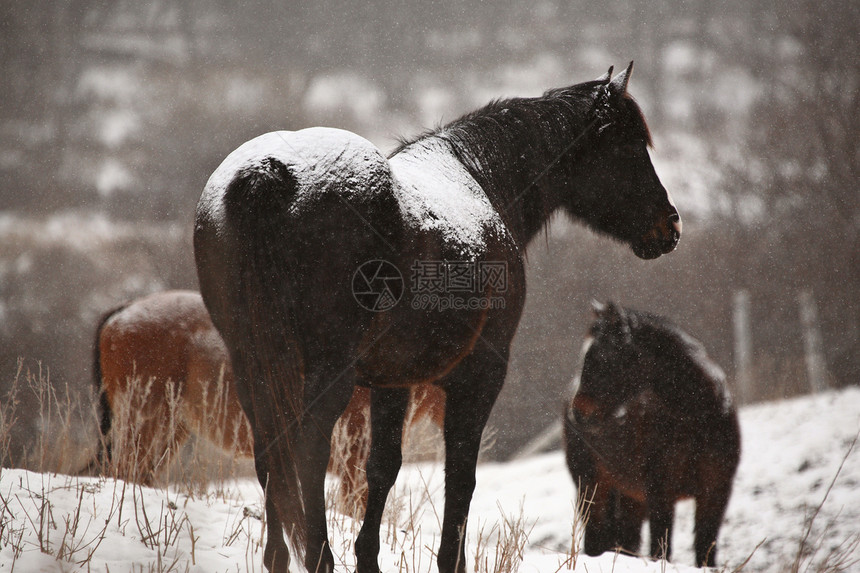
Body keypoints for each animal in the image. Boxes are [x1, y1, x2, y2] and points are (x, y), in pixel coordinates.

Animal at [193, 62, 680, 572]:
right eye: (629, 146)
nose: (669, 225)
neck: (479, 179)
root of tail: (269, 175)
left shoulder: (393, 381)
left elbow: (382, 467)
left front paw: (368, 558)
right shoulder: (479, 377)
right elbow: (461, 474)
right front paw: (451, 559)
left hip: (253, 363)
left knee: (270, 450)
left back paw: (278, 557)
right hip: (325, 370)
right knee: (306, 451)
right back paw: (319, 557)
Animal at [564, 302, 740, 564]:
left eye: (606, 357)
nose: (579, 412)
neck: (701, 419)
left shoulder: (716, 492)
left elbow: (705, 549)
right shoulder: (660, 494)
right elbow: (661, 549)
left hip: (631, 497)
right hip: (591, 485)